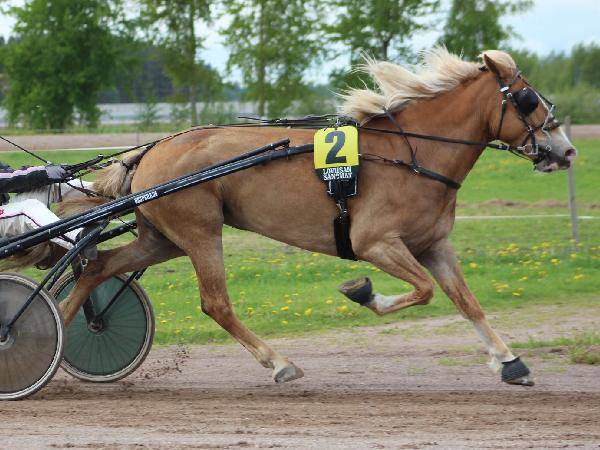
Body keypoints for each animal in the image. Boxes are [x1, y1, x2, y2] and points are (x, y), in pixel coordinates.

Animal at [59, 48, 576, 386]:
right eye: (528, 99)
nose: (566, 150)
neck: (412, 153)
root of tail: (150, 150)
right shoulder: (375, 242)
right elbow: (424, 290)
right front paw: (363, 292)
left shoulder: (433, 245)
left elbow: (466, 301)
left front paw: (510, 361)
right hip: (200, 231)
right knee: (215, 304)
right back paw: (279, 362)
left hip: (162, 238)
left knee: (97, 267)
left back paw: (55, 330)